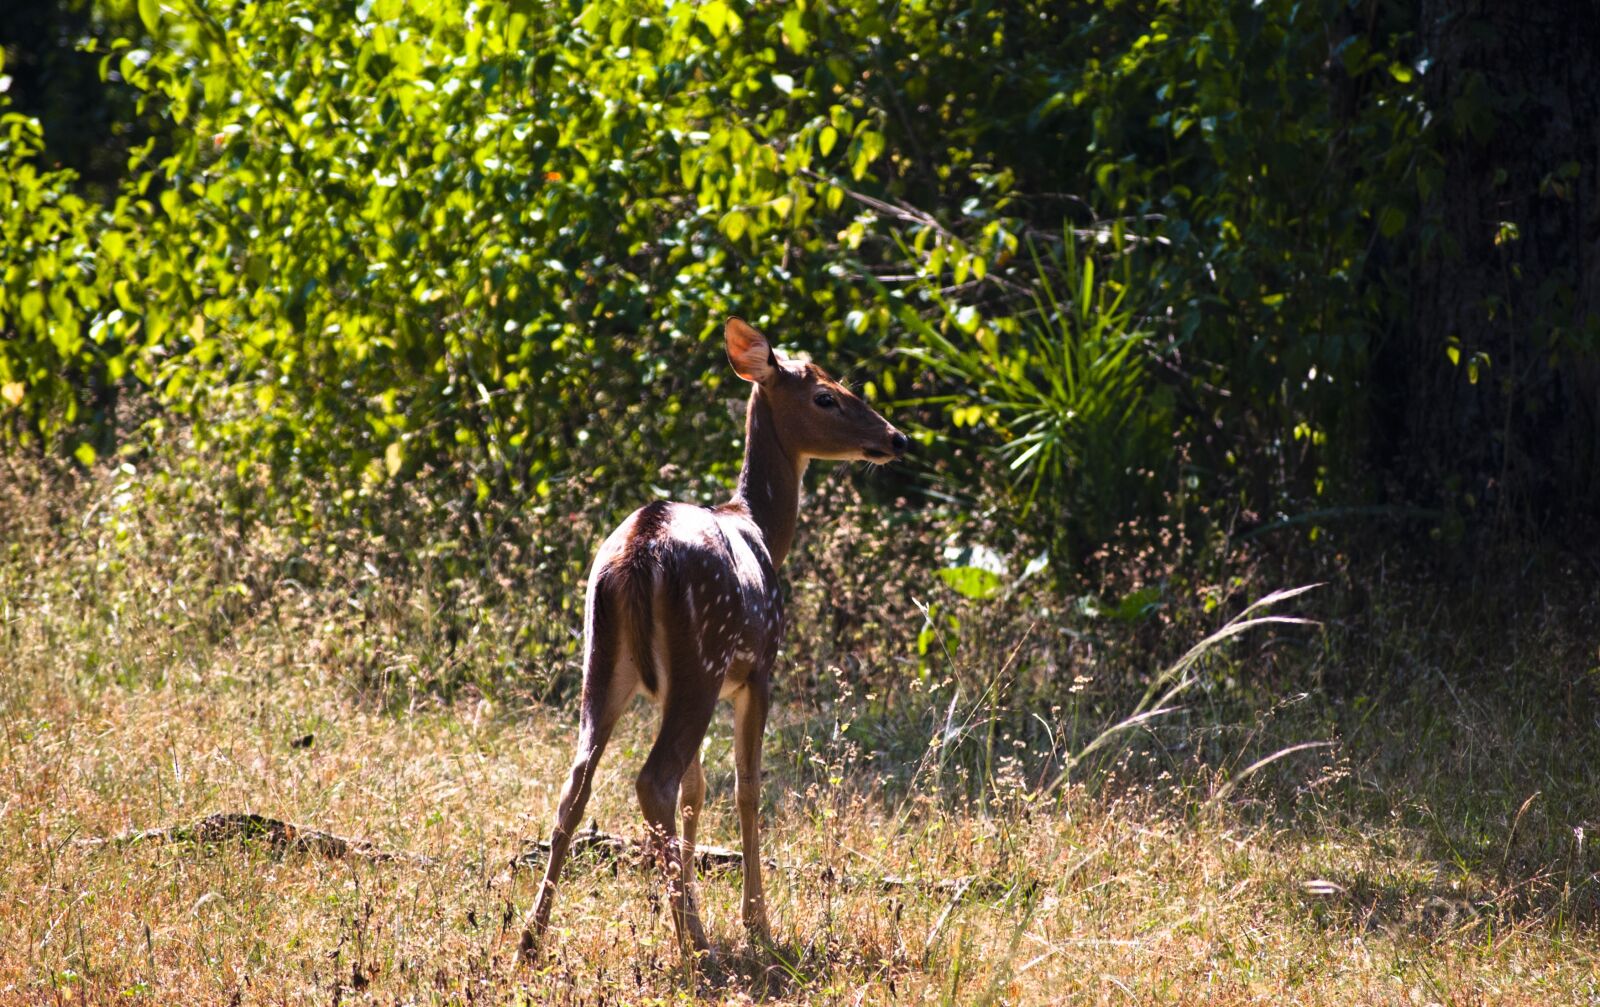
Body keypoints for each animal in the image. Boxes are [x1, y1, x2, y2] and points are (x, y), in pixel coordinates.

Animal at [518, 317, 908, 964]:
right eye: (825, 396)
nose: (896, 438)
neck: (762, 529)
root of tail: (640, 550)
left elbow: (698, 790)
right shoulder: (760, 671)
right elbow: (747, 787)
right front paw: (757, 924)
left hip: (604, 659)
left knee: (579, 781)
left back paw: (531, 937)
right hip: (702, 657)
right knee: (653, 778)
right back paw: (697, 945)